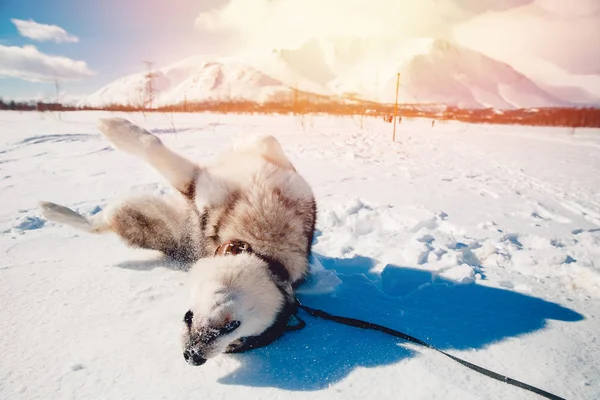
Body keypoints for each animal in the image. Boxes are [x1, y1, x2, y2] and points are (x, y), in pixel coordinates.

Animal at [39, 118, 316, 366]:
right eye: (232, 325)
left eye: (235, 332)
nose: (193, 358)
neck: (259, 235)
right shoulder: (205, 183)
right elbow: (266, 139)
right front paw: (116, 128)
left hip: (138, 215)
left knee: (100, 224)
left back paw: (57, 212)